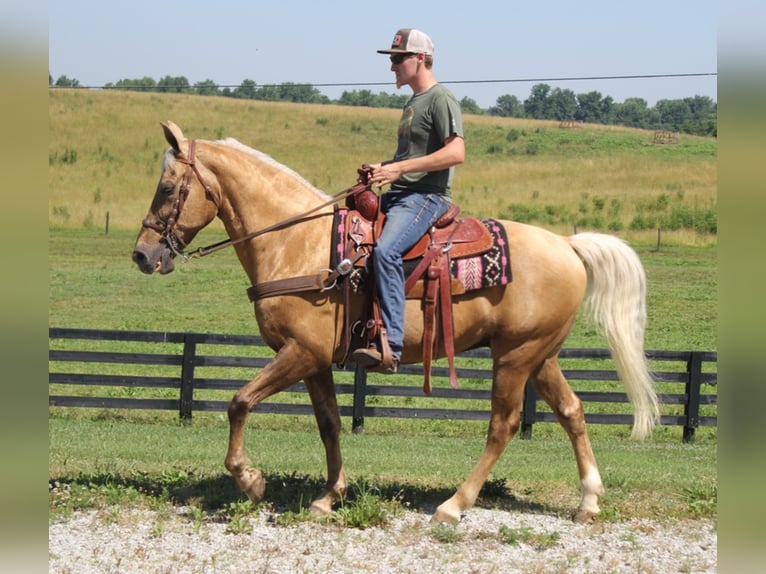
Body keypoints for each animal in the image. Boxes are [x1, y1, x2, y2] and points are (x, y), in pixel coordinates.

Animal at [132, 121, 660, 528]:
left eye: (166, 187)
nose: (142, 254)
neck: (297, 242)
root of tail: (568, 245)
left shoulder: (299, 352)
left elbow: (239, 402)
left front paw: (250, 479)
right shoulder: (316, 361)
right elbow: (329, 423)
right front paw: (330, 495)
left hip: (515, 356)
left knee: (503, 425)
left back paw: (453, 506)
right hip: (540, 355)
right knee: (572, 411)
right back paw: (588, 502)